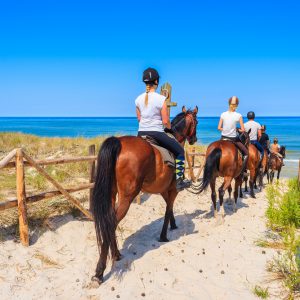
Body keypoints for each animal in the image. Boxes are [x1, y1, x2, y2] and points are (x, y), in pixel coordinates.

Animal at [91, 105, 199, 284]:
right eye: (196, 122)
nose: (194, 139)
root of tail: (119, 143)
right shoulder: (173, 189)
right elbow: (168, 209)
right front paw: (164, 235)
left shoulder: (163, 189)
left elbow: (169, 208)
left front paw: (173, 224)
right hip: (127, 197)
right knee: (111, 223)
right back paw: (99, 271)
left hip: (113, 194)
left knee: (109, 221)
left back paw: (116, 255)